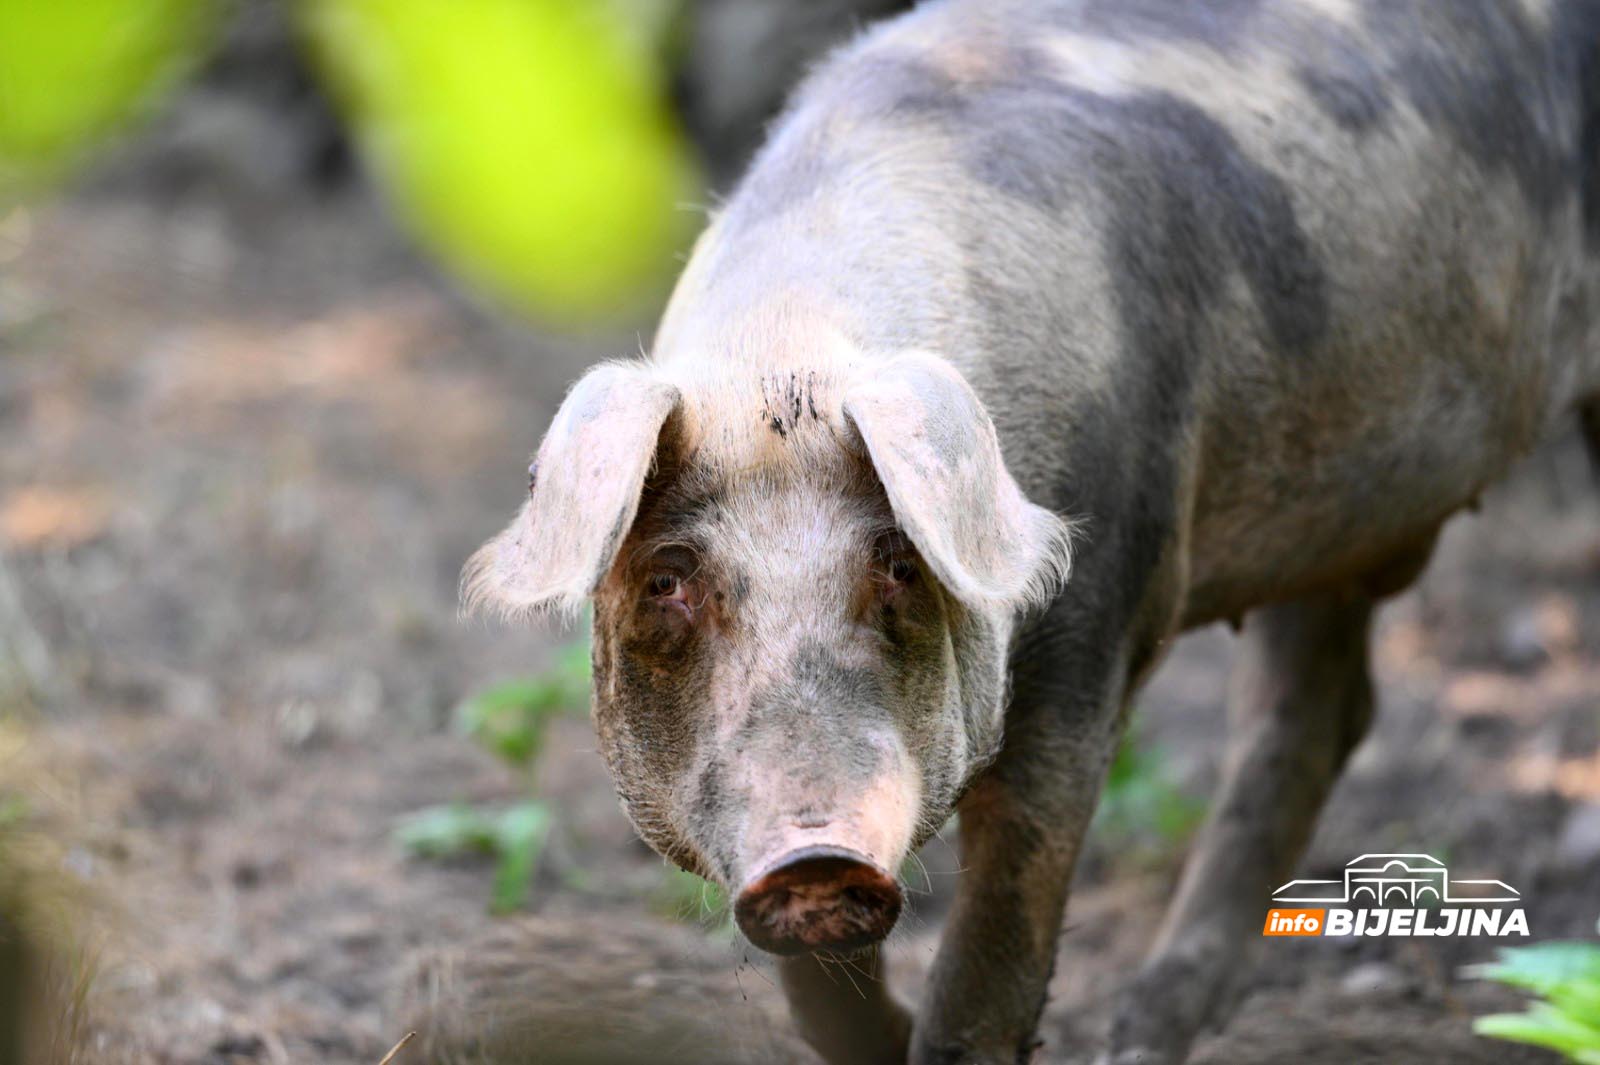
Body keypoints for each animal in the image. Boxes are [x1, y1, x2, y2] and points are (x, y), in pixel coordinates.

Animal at [467, 0, 1600, 1055]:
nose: (816, 855)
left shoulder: (1106, 602)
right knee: (1318, 710)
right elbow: (820, 993)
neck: (785, 350)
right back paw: (1145, 1031)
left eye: (898, 563)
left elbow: (1001, 931)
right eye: (668, 580)